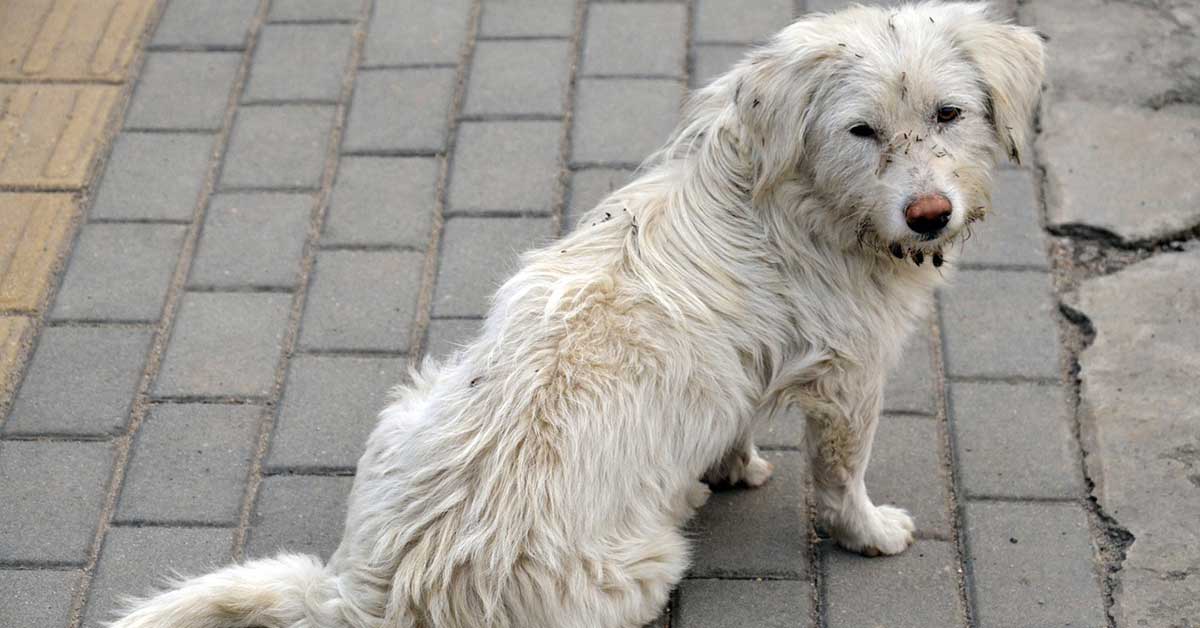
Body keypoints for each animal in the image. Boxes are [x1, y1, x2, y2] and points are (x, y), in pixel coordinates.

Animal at [114, 2, 1051, 624]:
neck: (787, 194)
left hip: (409, 401)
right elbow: (839, 480)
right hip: (641, 569)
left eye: (948, 113)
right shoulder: (851, 379)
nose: (929, 216)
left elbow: (735, 421)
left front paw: (731, 465)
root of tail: (375, 598)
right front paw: (868, 530)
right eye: (861, 130)